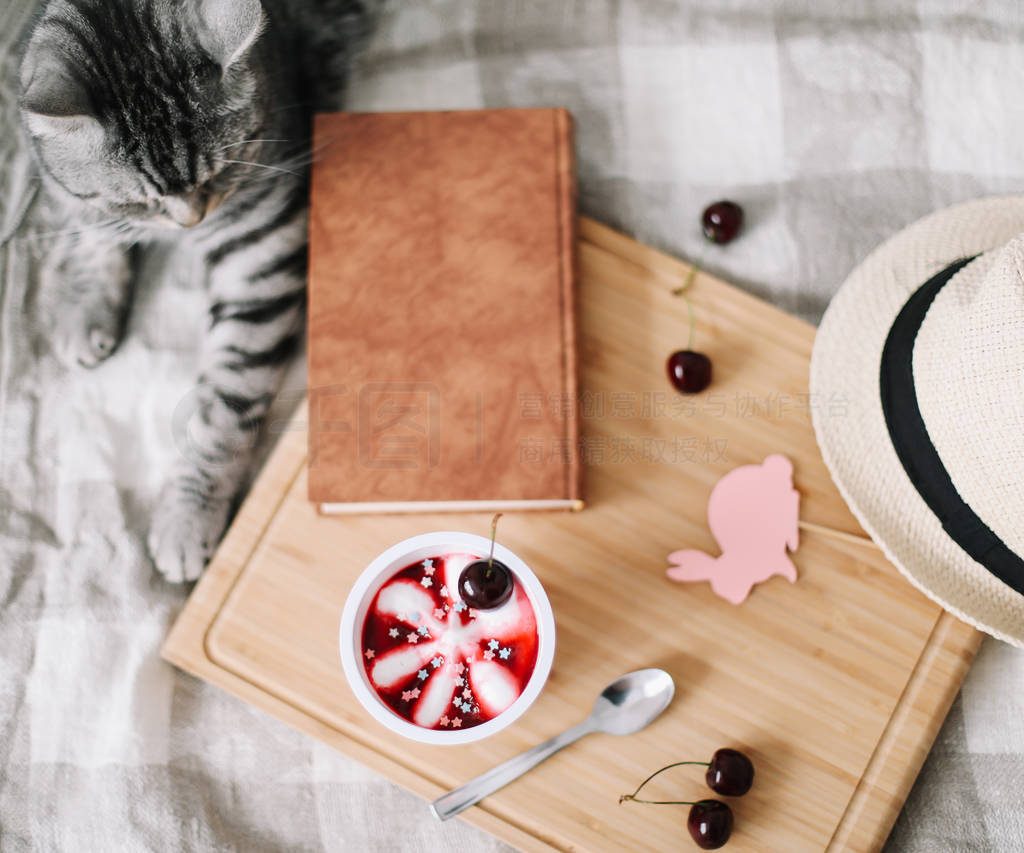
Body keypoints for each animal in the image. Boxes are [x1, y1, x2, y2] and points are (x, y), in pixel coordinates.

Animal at [18, 0, 370, 577]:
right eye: (137, 200)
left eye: (219, 172)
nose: (190, 221)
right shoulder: (56, 175)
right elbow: (90, 224)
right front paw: (85, 305)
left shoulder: (261, 252)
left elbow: (222, 408)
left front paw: (188, 516)